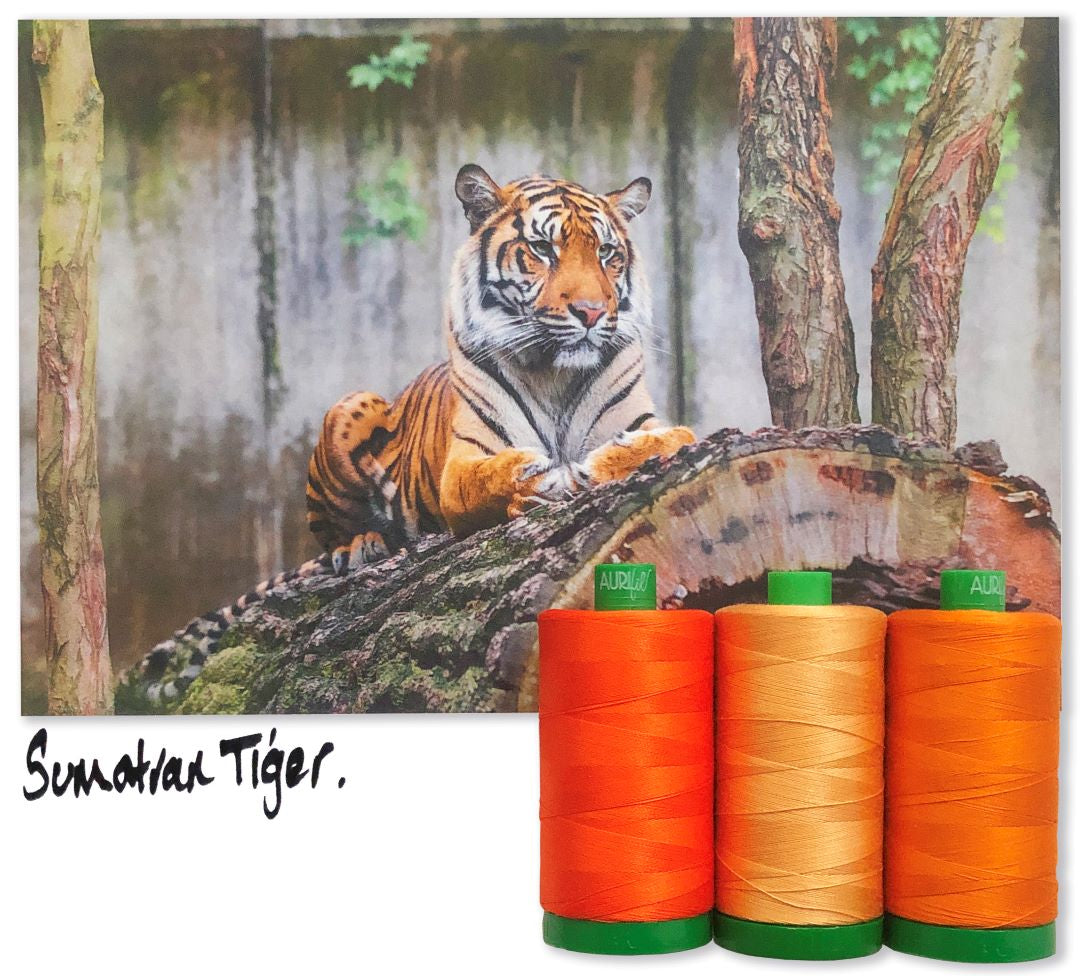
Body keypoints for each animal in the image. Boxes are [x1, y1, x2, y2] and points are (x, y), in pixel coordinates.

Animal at [132, 165, 693, 703]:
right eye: (541, 249)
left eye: (607, 253)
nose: (592, 313)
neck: (556, 373)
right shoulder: (463, 466)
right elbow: (494, 476)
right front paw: (540, 482)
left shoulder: (649, 423)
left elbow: (676, 439)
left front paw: (600, 465)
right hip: (350, 406)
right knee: (333, 536)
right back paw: (363, 545)